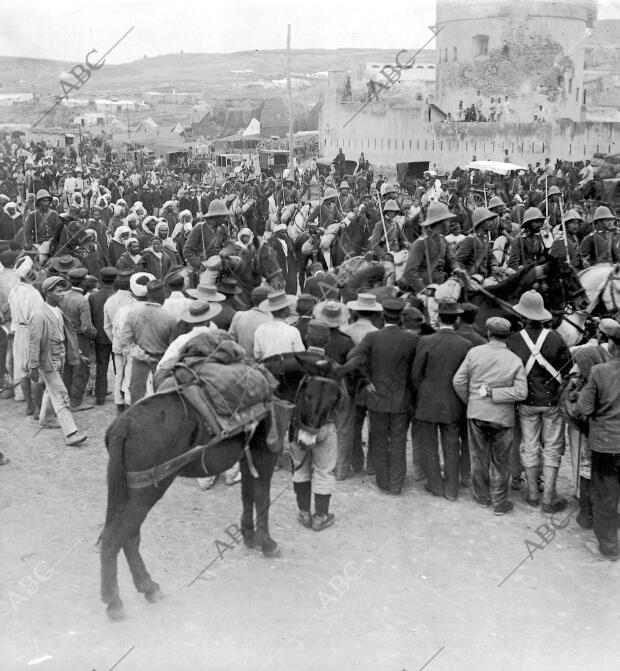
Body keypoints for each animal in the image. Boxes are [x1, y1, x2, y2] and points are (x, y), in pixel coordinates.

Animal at [98, 354, 340, 624]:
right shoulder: (265, 456)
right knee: (114, 538)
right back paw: (115, 602)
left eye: (333, 398)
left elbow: (247, 495)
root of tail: (123, 425)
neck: (271, 390)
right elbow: (262, 498)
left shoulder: (246, 458)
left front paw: (249, 536)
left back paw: (147, 587)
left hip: (127, 490)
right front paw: (267, 543)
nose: (306, 441)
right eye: (308, 395)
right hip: (148, 491)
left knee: (128, 537)